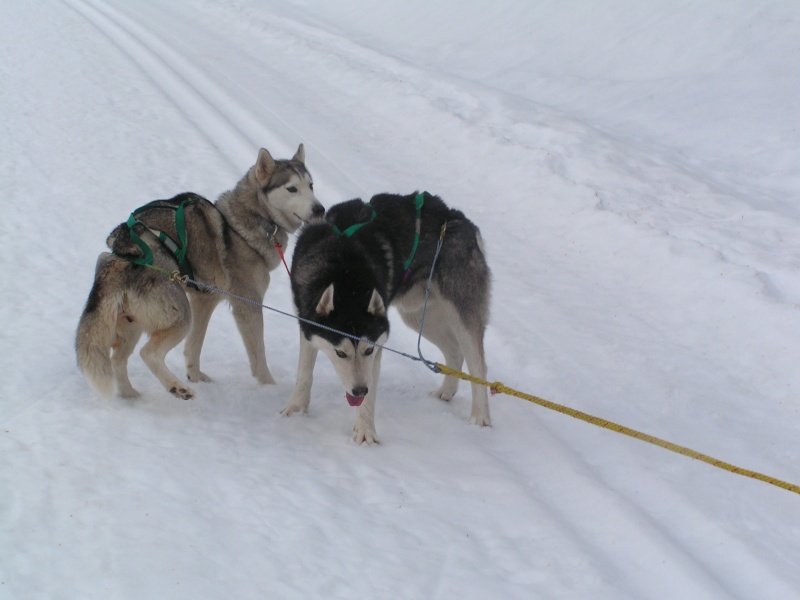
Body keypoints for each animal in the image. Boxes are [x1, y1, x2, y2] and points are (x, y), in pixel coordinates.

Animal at [75, 144, 324, 398]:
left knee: (118, 360)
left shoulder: (204, 300)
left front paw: (195, 375)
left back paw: (133, 397)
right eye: (292, 188)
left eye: (311, 186)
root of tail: (121, 256)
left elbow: (194, 345)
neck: (245, 223)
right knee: (148, 353)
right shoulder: (247, 305)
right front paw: (269, 387)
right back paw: (177, 388)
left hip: (134, 323)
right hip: (180, 316)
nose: (320, 209)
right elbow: (258, 355)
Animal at [282, 190, 494, 442]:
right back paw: (447, 390)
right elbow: (304, 373)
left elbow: (369, 397)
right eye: (340, 353)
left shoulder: (377, 347)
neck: (345, 270)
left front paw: (365, 433)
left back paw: (480, 417)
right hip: (418, 315)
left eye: (368, 350)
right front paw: (296, 410)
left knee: (478, 366)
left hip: (460, 313)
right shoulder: (306, 325)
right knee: (454, 351)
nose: (359, 390)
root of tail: (458, 219)